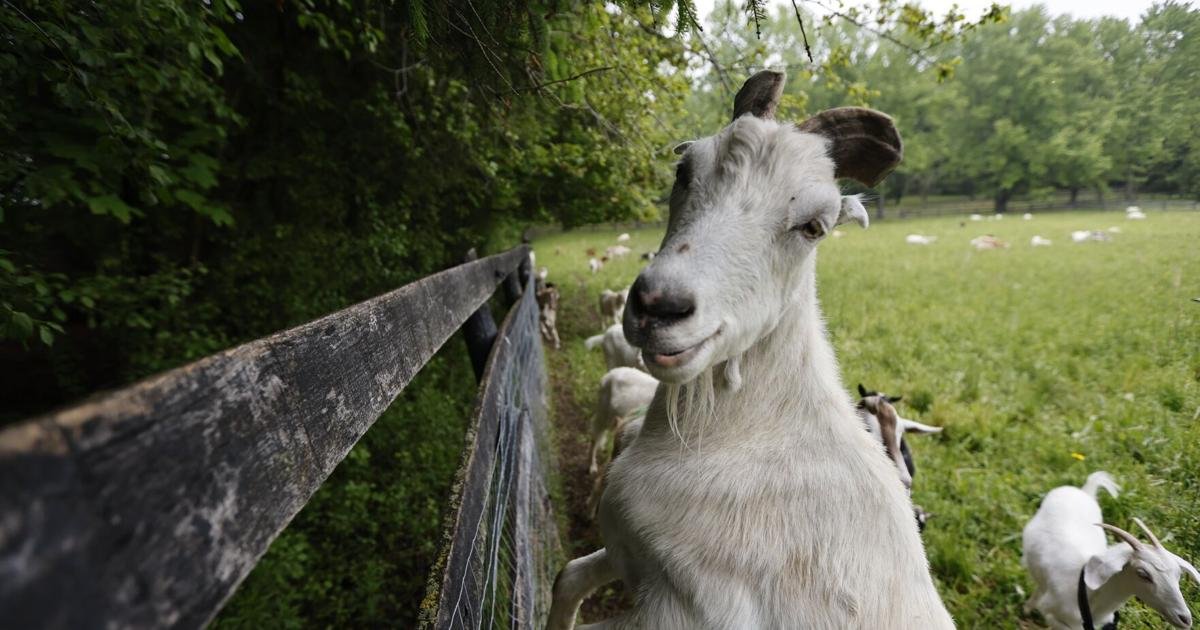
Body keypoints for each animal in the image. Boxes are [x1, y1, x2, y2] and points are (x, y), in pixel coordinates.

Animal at [549, 70, 952, 629]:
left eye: (813, 226)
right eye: (684, 170)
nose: (659, 306)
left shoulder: (680, 613)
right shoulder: (625, 552)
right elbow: (567, 579)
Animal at [1022, 472, 1198, 629]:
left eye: (1178, 575)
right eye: (1143, 574)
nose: (1185, 619)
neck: (1087, 593)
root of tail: (1085, 490)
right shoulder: (1051, 613)